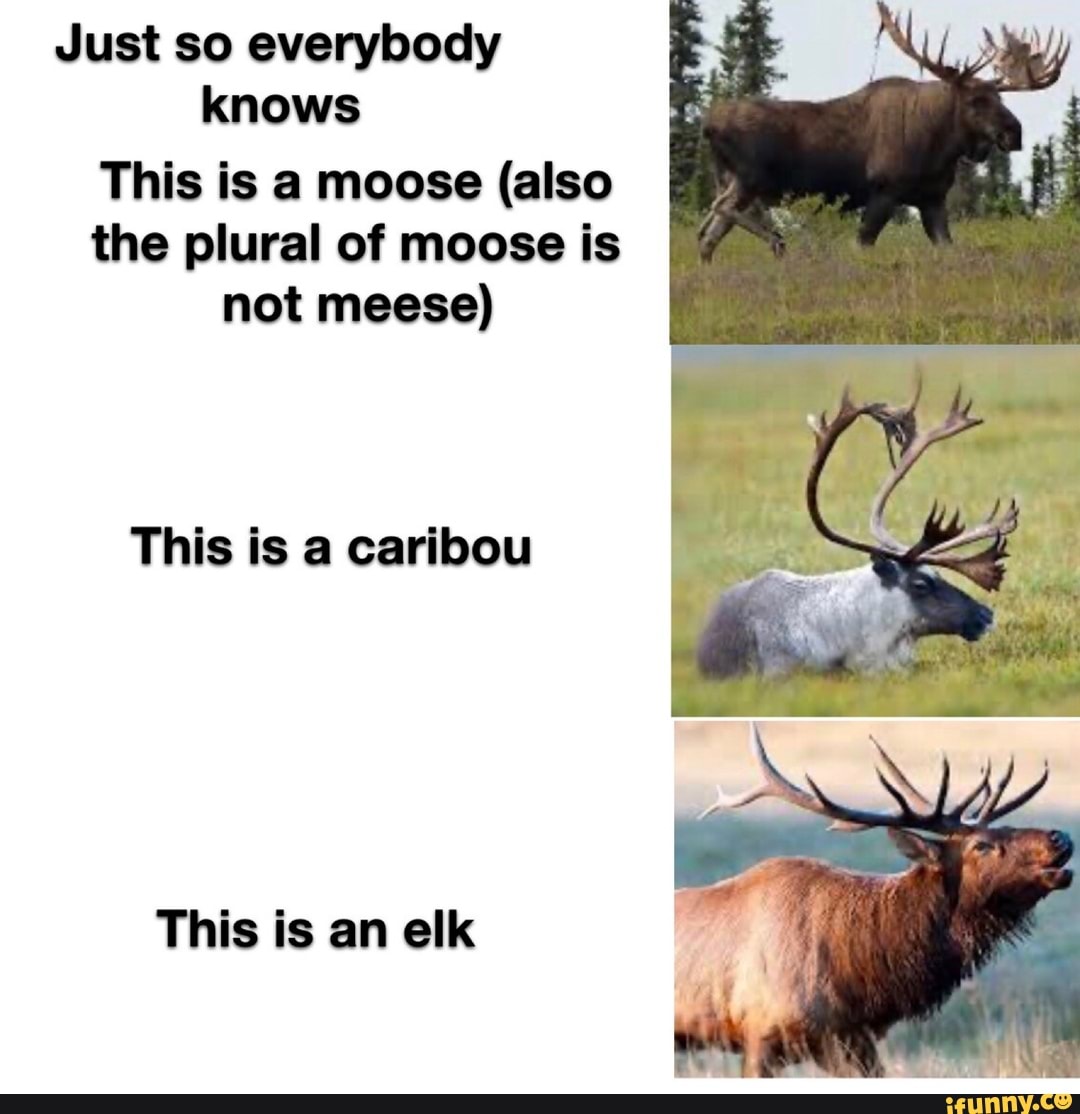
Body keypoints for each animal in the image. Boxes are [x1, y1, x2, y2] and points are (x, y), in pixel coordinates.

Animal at [698, 4, 1071, 259]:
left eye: (1000, 97)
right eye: (976, 100)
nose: (1014, 132)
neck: (939, 148)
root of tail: (708, 126)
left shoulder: (932, 199)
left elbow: (947, 247)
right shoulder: (884, 191)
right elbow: (862, 243)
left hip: (737, 180)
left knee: (708, 235)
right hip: (749, 178)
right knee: (718, 210)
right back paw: (777, 240)